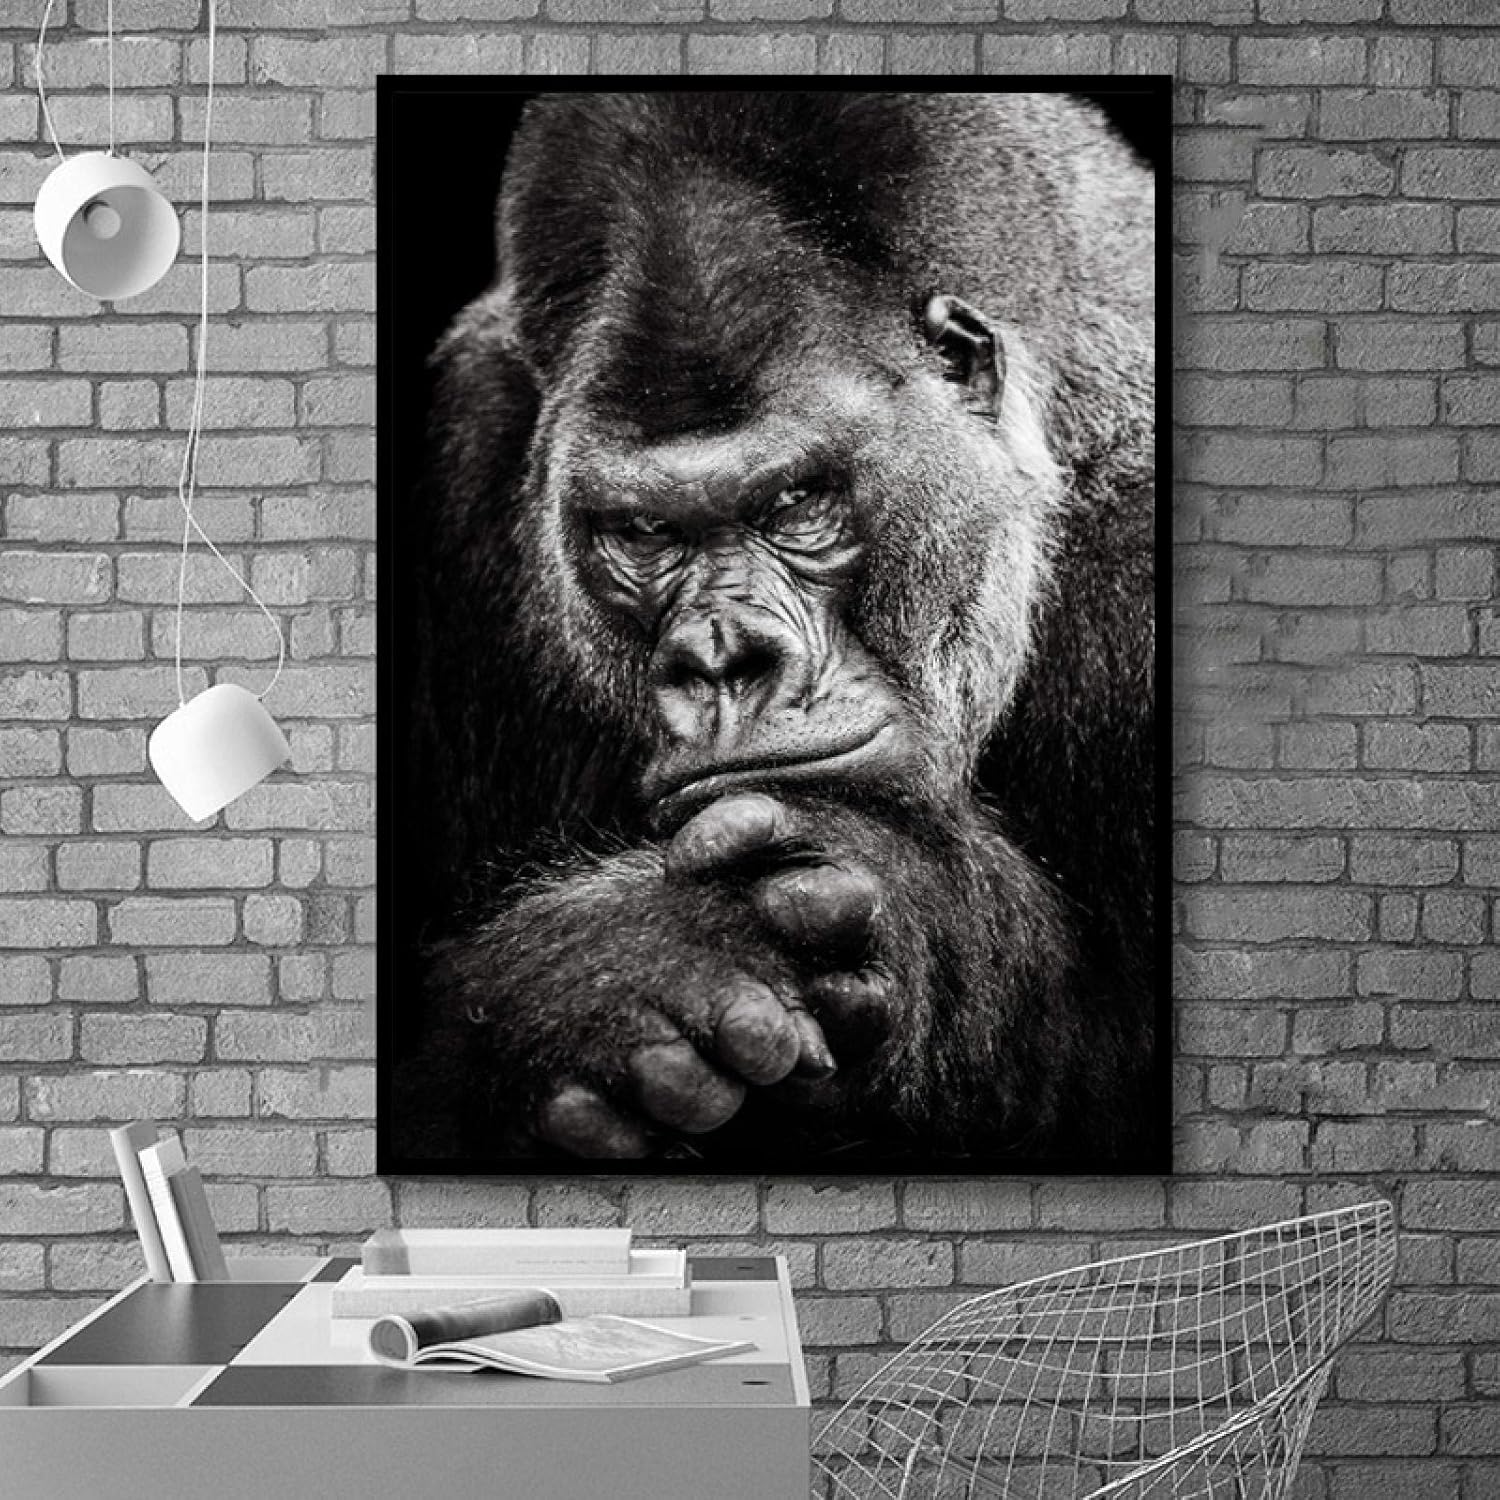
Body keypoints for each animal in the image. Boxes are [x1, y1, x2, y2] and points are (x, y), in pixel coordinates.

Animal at [389, 91, 1159, 1167]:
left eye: (797, 501)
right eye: (642, 532)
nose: (723, 659)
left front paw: (914, 915)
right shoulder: (472, 452)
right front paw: (609, 978)